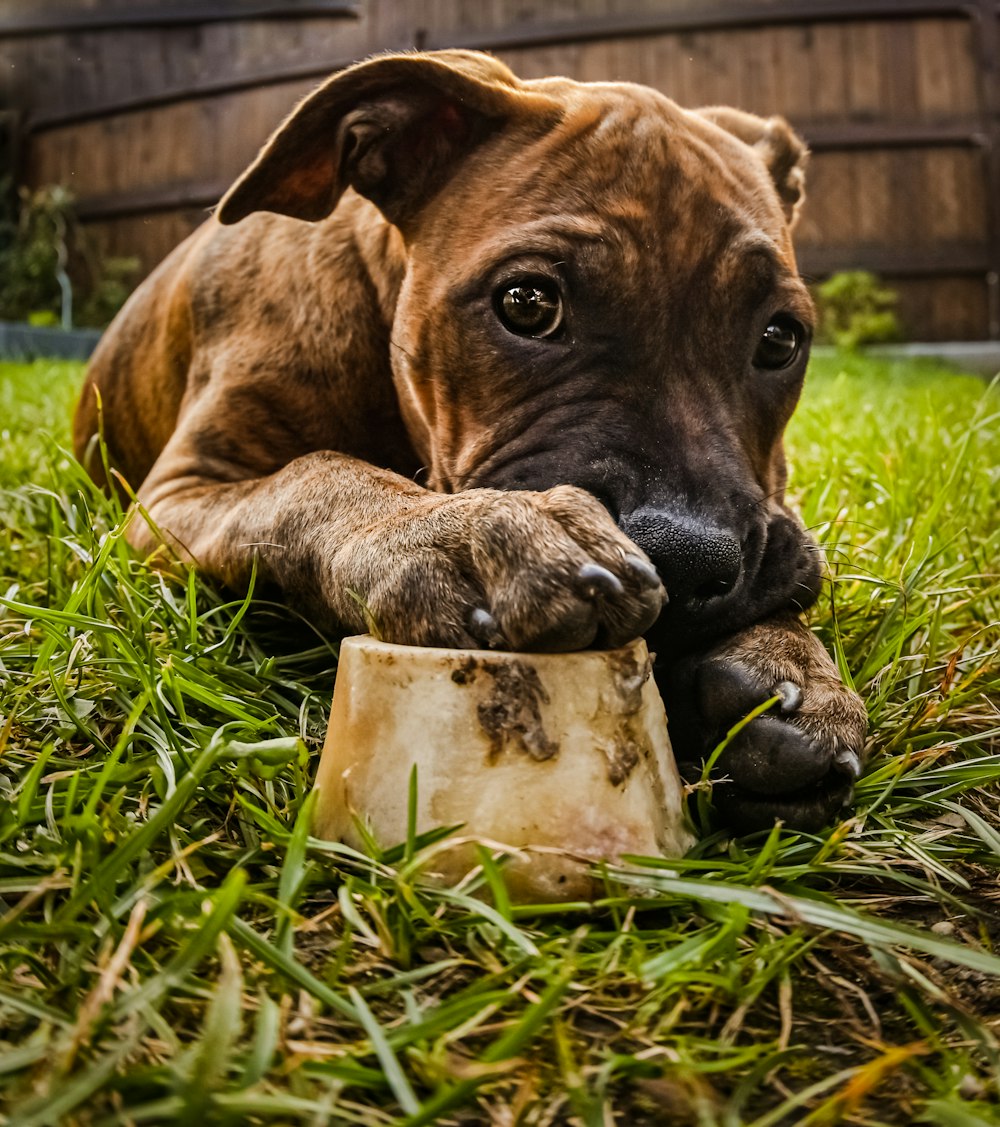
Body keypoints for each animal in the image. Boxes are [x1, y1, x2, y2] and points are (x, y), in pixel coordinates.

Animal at [76, 48, 870, 833]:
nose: (686, 556)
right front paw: (459, 533)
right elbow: (310, 476)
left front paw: (792, 664)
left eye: (780, 339)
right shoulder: (176, 494)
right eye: (527, 303)